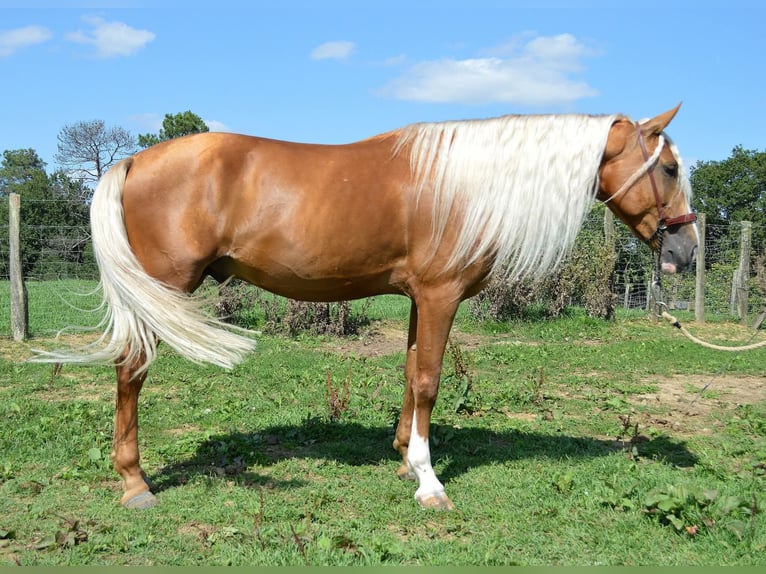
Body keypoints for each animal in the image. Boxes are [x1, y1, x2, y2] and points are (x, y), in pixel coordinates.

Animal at [37, 104, 698, 511]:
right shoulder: (440, 295)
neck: (462, 185)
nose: (686, 250)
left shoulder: (419, 299)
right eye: (667, 167)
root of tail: (133, 160)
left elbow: (410, 373)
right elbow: (430, 380)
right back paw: (135, 483)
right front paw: (429, 482)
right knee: (130, 372)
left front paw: (406, 460)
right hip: (163, 290)